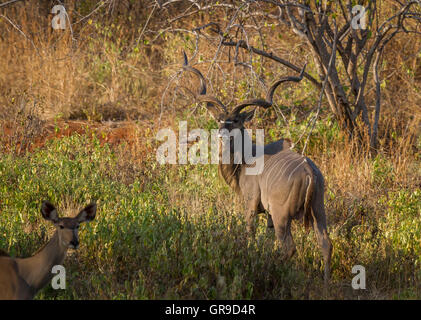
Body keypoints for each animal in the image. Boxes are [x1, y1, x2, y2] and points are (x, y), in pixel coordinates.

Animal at [182, 52, 334, 280]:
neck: (246, 159)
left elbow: (250, 234)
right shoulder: (269, 216)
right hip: (318, 209)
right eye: (219, 120)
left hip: (282, 216)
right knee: (325, 243)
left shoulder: (251, 205)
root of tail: (309, 173)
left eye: (236, 120)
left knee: (289, 248)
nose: (221, 134)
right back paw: (325, 282)